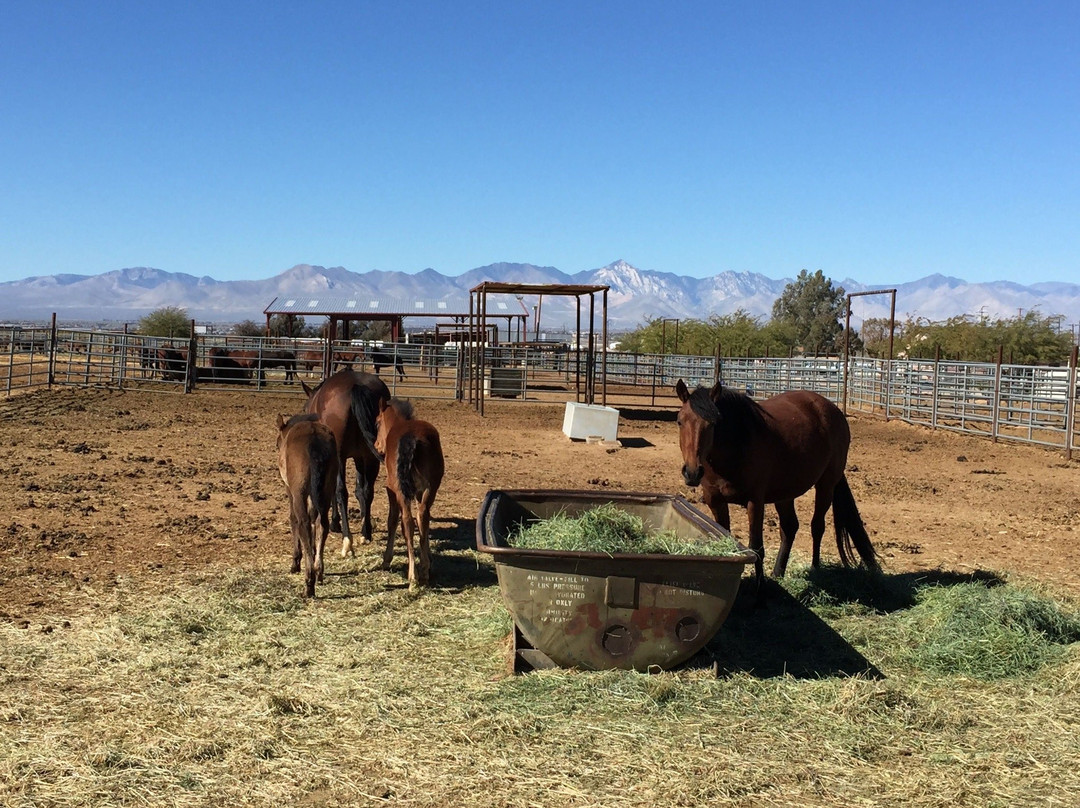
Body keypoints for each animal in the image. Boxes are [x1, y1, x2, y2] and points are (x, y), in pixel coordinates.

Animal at [276, 413, 339, 598]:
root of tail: (314, 439)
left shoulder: (290, 490)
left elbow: (294, 520)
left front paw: (295, 562)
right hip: (327, 489)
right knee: (322, 524)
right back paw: (318, 571)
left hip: (299, 493)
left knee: (303, 522)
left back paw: (309, 582)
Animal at [301, 370, 391, 557]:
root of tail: (356, 385)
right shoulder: (360, 458)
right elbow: (360, 490)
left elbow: (335, 492)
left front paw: (335, 523)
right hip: (371, 457)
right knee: (368, 491)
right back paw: (365, 534)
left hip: (340, 456)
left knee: (341, 491)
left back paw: (347, 540)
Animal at [374, 398, 444, 588]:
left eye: (377, 422)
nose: (377, 446)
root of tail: (413, 438)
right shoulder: (420, 493)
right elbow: (422, 525)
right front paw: (428, 561)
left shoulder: (391, 490)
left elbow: (392, 520)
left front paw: (386, 559)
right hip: (430, 490)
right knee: (422, 517)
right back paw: (424, 571)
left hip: (401, 491)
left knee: (407, 521)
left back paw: (413, 576)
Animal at [674, 379, 879, 597]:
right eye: (680, 421)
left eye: (713, 424)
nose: (692, 472)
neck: (736, 447)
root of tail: (832, 409)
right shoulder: (715, 500)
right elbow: (723, 535)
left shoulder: (755, 502)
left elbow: (756, 547)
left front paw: (760, 592)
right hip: (785, 494)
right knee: (789, 527)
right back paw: (778, 572)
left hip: (826, 485)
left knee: (817, 527)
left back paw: (815, 569)